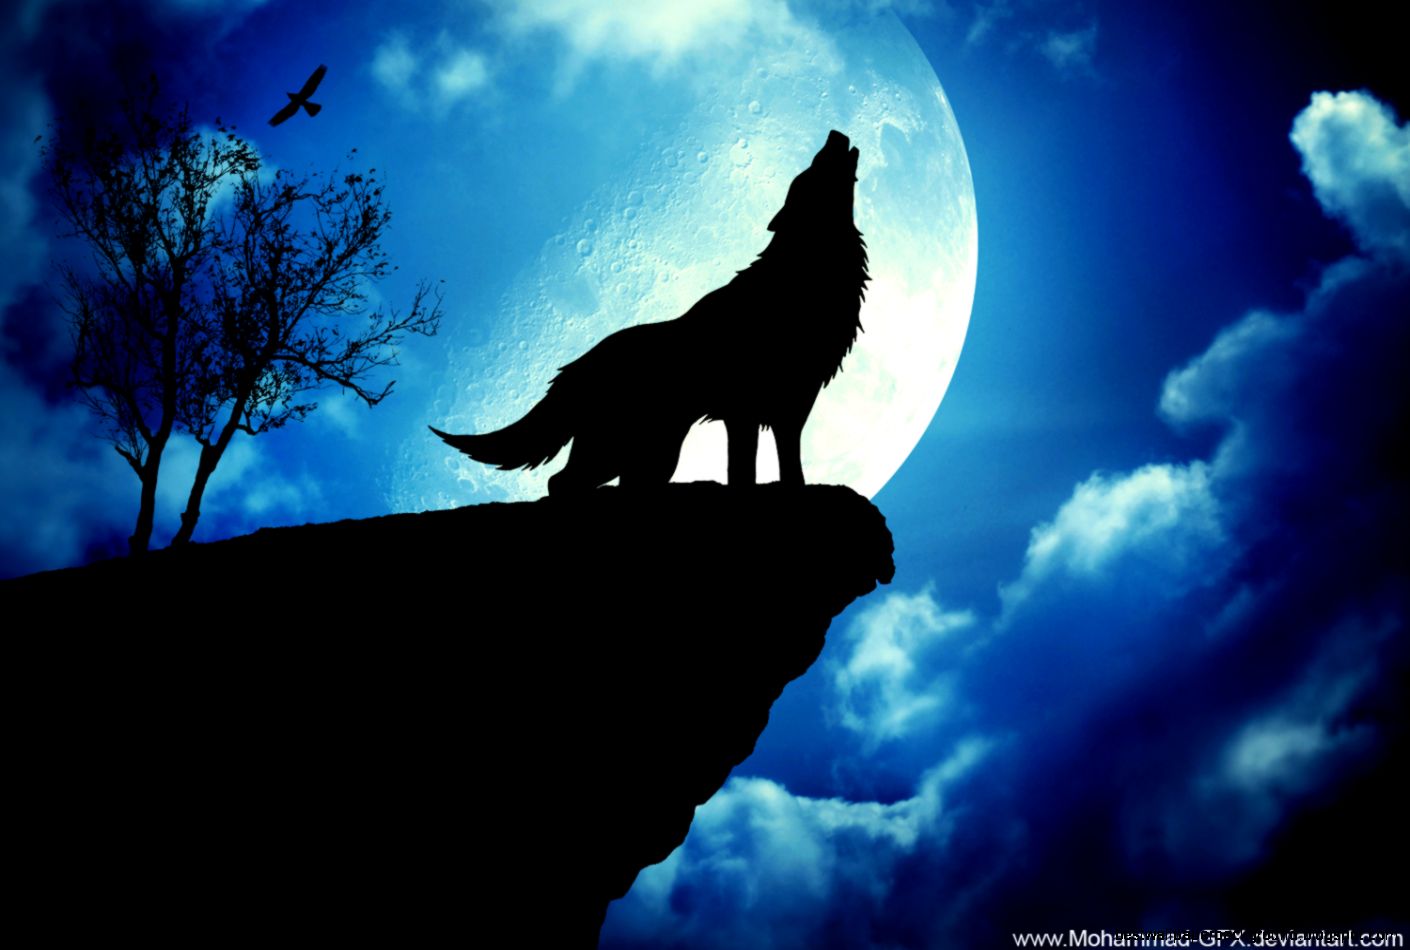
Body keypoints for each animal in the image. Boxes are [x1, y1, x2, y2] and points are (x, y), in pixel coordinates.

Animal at [431, 129, 869, 495]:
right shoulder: (743, 410)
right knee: (561, 483)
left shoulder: (792, 406)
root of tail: (576, 366)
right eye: (812, 168)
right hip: (621, 447)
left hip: (652, 453)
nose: (834, 133)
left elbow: (789, 465)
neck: (798, 280)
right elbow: (742, 471)